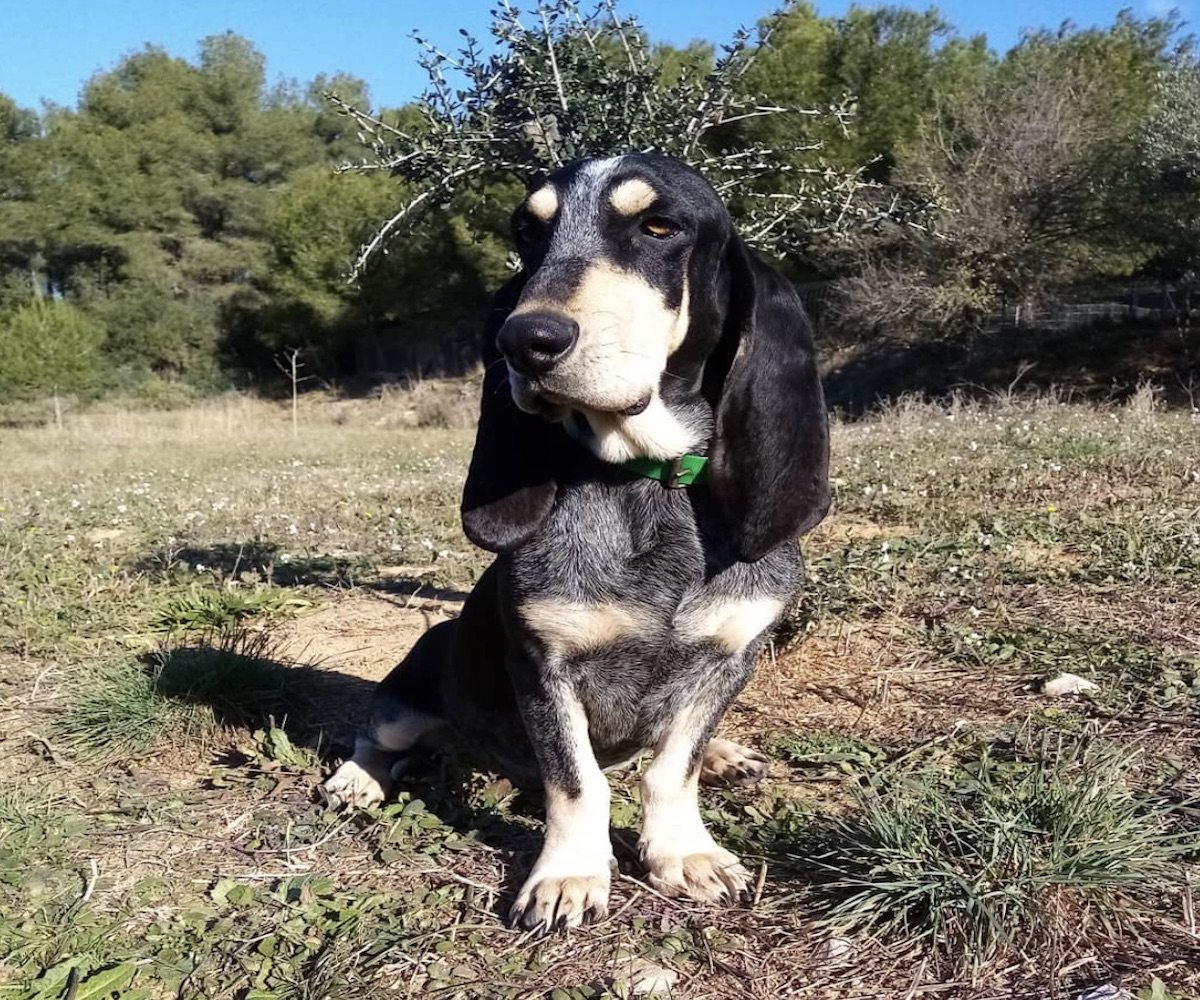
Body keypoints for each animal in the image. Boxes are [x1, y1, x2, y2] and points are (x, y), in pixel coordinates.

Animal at [324, 152, 830, 931]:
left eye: (660, 227)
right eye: (528, 234)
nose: (524, 341)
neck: (647, 481)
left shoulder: (730, 659)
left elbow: (672, 767)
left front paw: (685, 851)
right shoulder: (544, 668)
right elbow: (577, 781)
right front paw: (568, 875)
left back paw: (727, 755)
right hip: (416, 686)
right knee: (378, 732)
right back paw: (356, 778)